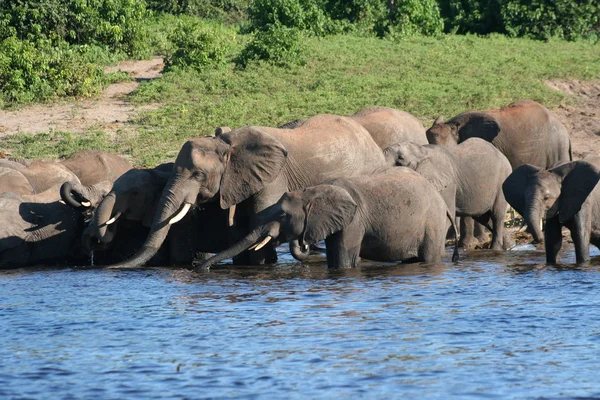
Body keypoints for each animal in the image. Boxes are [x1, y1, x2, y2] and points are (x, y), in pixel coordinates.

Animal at [106, 113, 390, 268]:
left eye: (199, 175)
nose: (112, 266)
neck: (226, 144)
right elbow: (242, 226)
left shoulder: (274, 177)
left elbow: (258, 222)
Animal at [197, 167, 460, 270]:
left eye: (283, 214)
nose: (202, 268)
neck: (314, 192)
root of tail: (441, 201)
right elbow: (334, 256)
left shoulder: (354, 221)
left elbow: (343, 259)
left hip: (433, 224)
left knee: (428, 256)